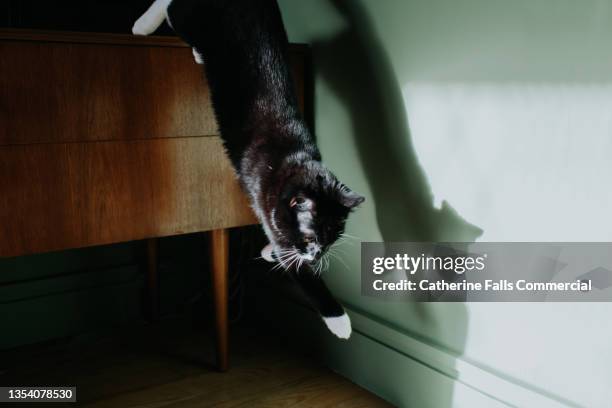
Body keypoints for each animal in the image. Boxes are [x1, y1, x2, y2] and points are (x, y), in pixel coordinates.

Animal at [133, 0, 364, 338]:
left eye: (334, 237)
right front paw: (340, 321)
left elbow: (282, 246)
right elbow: (299, 270)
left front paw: (270, 252)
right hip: (192, 18)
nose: (318, 255)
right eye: (312, 238)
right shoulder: (265, 199)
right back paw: (143, 26)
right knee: (173, 8)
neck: (293, 161)